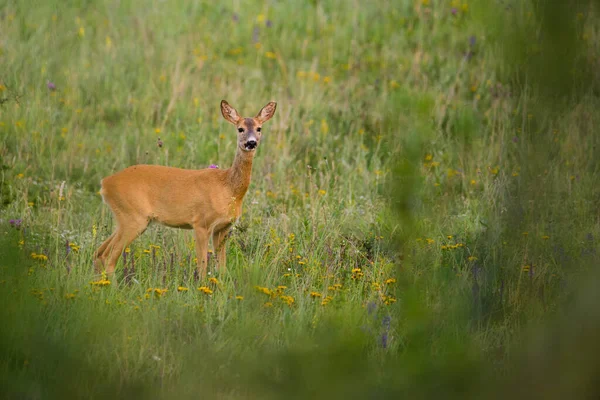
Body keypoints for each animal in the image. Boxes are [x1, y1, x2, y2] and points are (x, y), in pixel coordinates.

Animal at [95, 100, 278, 276]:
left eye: (259, 128)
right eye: (240, 129)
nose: (251, 143)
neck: (228, 187)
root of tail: (105, 183)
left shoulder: (223, 228)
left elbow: (222, 268)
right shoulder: (201, 223)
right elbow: (203, 266)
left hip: (126, 218)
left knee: (99, 252)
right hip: (133, 217)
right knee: (108, 258)